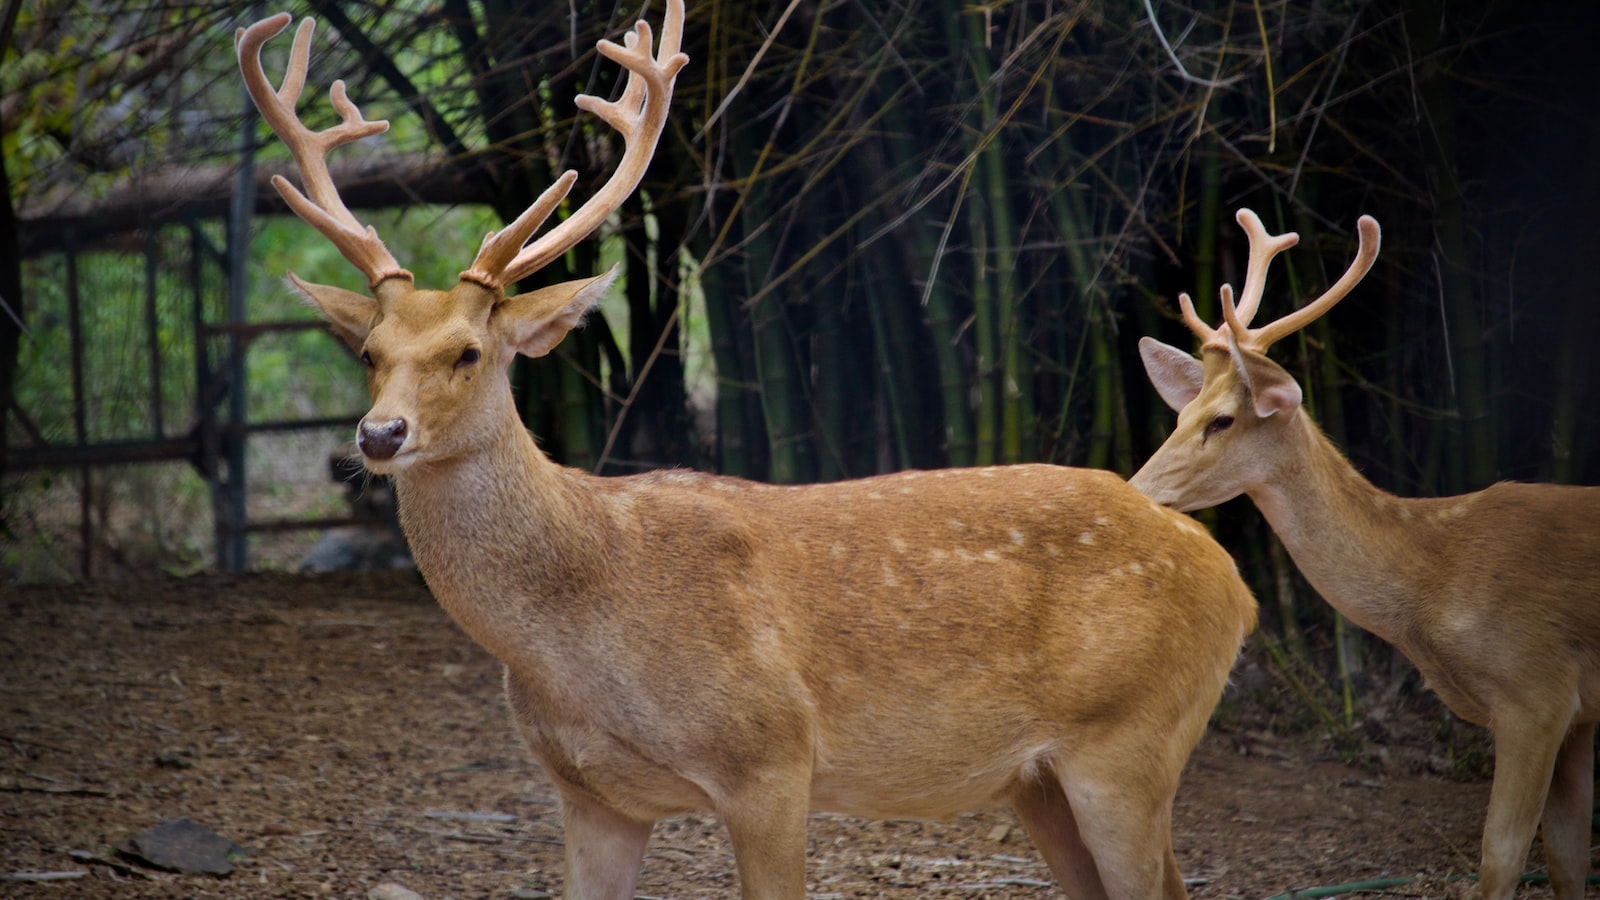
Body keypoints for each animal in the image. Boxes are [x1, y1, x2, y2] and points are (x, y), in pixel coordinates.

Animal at [236, 3, 1260, 890]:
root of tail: (1231, 576)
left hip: (1126, 743)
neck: (578, 635)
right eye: (368, 352)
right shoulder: (591, 796)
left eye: (468, 351)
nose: (379, 434)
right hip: (1039, 779)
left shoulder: (770, 759)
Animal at [1132, 208, 1600, 896]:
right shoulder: (1576, 713)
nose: (1134, 491)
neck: (1437, 576)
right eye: (1180, 414)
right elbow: (1568, 859)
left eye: (1221, 420)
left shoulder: (1535, 690)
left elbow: (1501, 855)